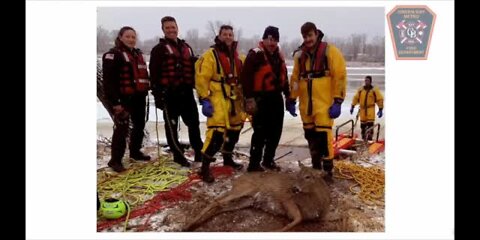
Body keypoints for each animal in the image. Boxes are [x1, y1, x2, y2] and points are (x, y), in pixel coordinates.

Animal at [184, 162, 330, 232]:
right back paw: (188, 225)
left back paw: (193, 225)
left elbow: (301, 219)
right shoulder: (285, 198)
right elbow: (298, 218)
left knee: (221, 206)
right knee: (216, 200)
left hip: (245, 201)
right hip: (244, 189)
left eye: (308, 176)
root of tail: (236, 180)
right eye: (297, 174)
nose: (294, 188)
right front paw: (277, 230)